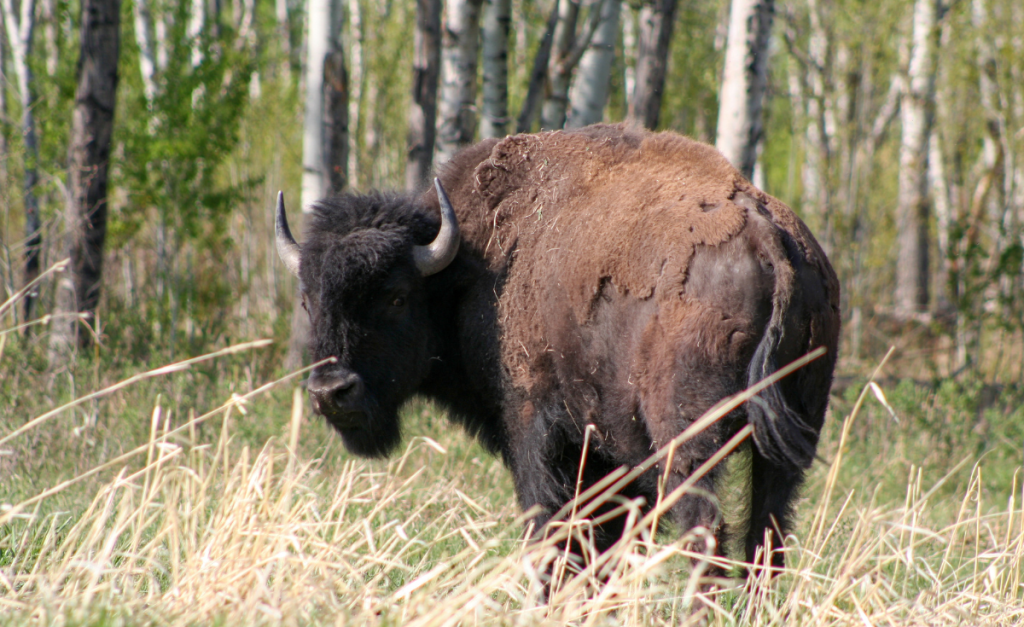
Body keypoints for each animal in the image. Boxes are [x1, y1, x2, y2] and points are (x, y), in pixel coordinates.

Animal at [275, 124, 840, 577]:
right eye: (307, 299)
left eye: (395, 296)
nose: (332, 392)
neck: (466, 271)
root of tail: (771, 239)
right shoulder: (612, 455)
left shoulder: (536, 432)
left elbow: (551, 530)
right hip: (785, 448)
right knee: (766, 537)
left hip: (688, 442)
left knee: (706, 535)